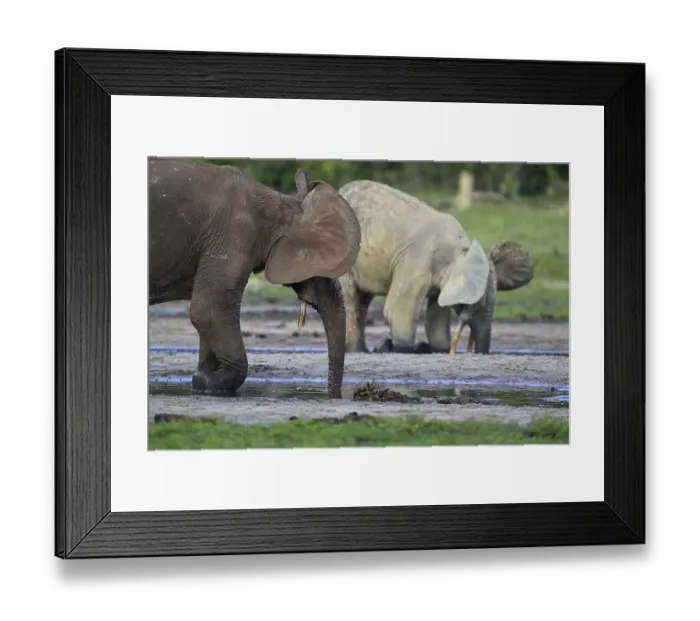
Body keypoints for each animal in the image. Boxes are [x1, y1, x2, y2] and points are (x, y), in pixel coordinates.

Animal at [148, 158, 361, 397]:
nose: (333, 396)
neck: (279, 206)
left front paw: (205, 379)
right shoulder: (233, 237)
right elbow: (208, 310)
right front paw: (206, 382)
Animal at [337, 180, 534, 354]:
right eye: (475, 305)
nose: (475, 352)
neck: (461, 251)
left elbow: (435, 320)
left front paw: (436, 349)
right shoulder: (414, 262)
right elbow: (397, 310)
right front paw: (403, 350)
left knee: (363, 299)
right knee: (350, 300)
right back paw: (360, 351)